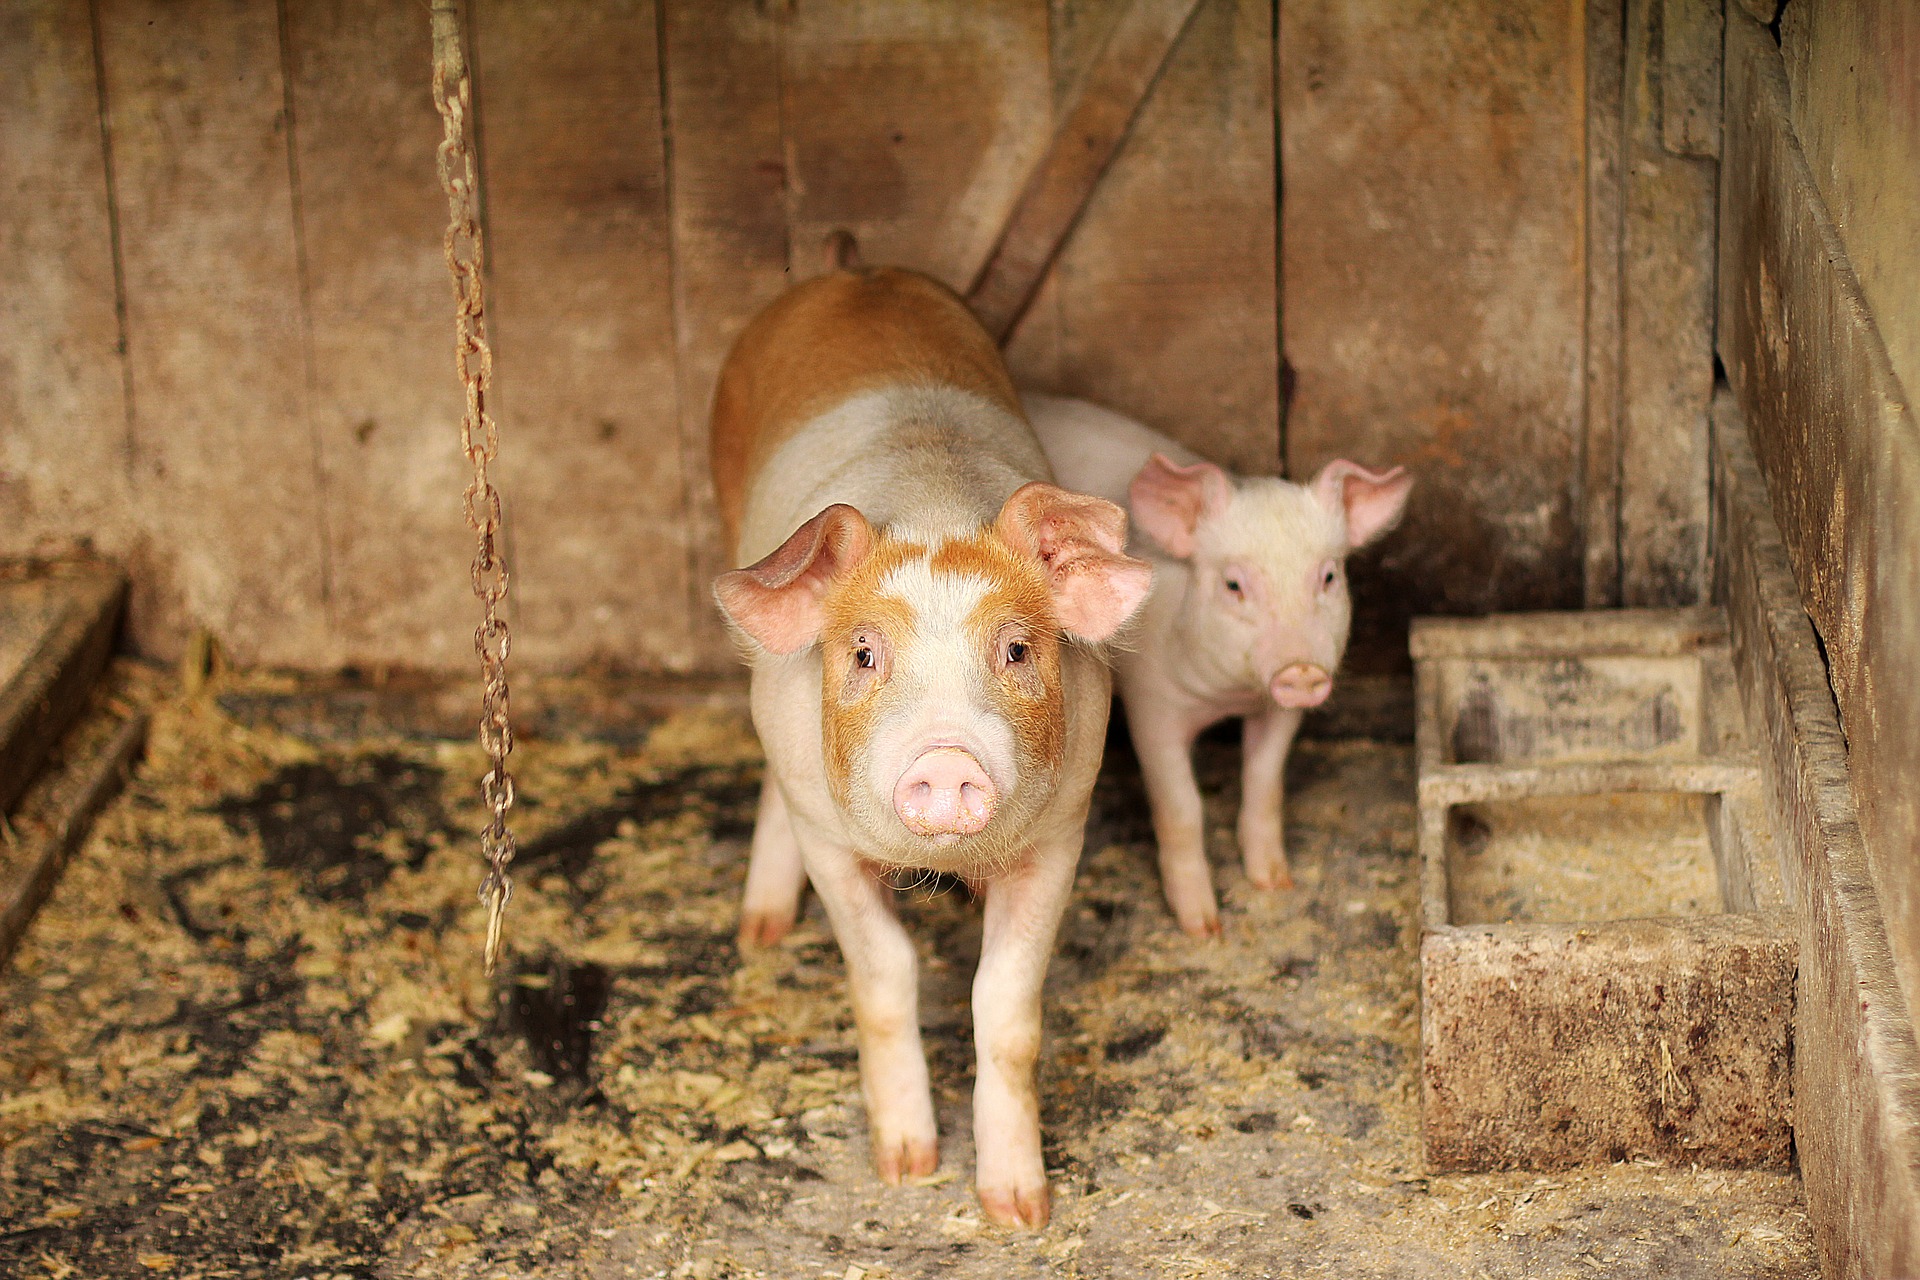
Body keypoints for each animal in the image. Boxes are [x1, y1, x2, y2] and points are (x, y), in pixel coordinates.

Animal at [709, 270, 1152, 1228]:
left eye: (1017, 650)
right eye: (864, 654)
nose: (946, 757)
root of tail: (854, 271)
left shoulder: (1063, 831)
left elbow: (1006, 1010)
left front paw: (1019, 1211)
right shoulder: (828, 839)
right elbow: (886, 980)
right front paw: (906, 1170)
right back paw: (760, 932)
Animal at [1026, 393, 1412, 938]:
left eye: (1329, 576)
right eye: (1233, 585)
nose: (1301, 670)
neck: (1228, 697)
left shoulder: (1279, 710)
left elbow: (1265, 781)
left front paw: (1275, 883)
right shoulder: (1152, 706)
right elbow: (1182, 806)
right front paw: (1203, 928)